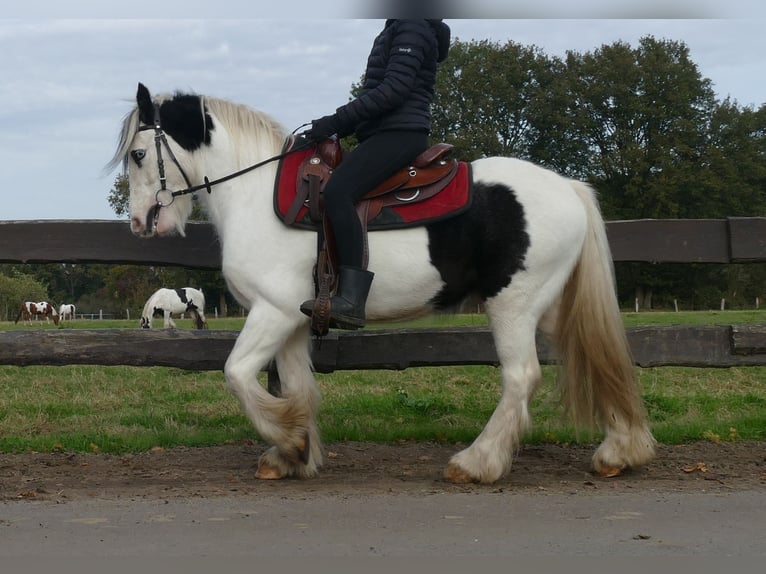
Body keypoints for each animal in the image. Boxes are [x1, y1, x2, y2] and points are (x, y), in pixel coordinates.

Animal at [108, 82, 656, 486]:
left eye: (138, 155)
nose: (138, 223)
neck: (256, 194)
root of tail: (568, 187)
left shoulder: (272, 312)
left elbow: (238, 374)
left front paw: (289, 440)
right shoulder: (292, 321)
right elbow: (298, 385)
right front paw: (296, 451)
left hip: (514, 305)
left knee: (521, 378)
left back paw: (477, 463)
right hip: (553, 305)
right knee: (599, 358)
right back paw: (621, 451)